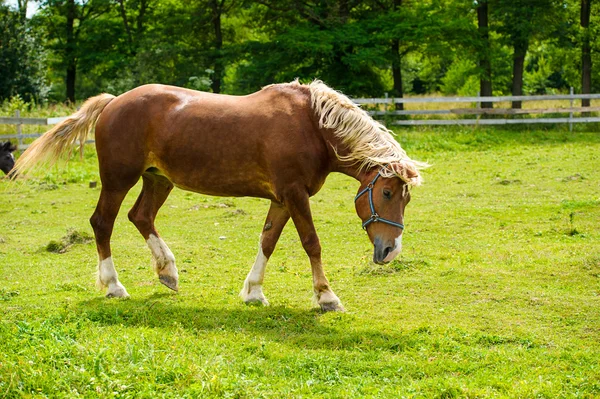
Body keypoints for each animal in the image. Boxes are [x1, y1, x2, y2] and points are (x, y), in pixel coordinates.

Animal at [14, 80, 426, 312]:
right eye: (386, 191)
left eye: (405, 199)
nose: (390, 250)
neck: (312, 125)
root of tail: (114, 102)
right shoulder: (295, 194)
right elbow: (311, 242)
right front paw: (326, 298)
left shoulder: (282, 198)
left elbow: (268, 241)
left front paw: (254, 293)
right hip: (118, 180)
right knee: (102, 223)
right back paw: (115, 286)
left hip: (158, 180)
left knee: (141, 217)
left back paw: (168, 272)